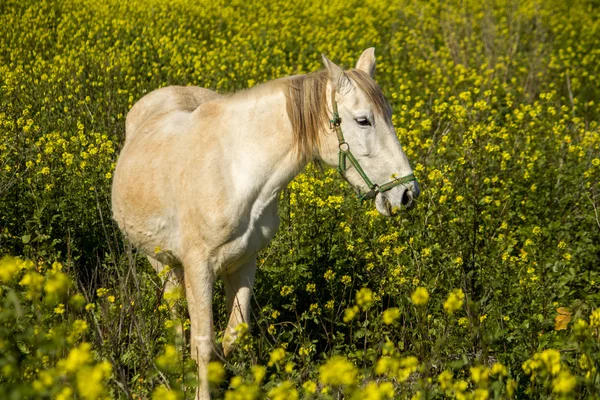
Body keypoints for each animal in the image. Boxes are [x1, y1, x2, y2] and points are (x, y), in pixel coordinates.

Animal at [113, 48, 422, 398]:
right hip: (161, 262)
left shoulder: (244, 262)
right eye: (363, 120)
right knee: (175, 316)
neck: (235, 171)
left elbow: (233, 335)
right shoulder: (198, 267)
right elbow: (203, 342)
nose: (407, 193)